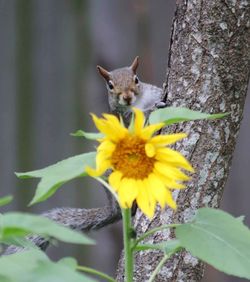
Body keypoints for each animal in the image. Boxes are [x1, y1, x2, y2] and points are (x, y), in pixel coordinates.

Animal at [2, 56, 163, 254]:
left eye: (136, 79)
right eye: (110, 85)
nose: (126, 97)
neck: (138, 103)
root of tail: (113, 209)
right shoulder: (126, 121)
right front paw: (154, 108)